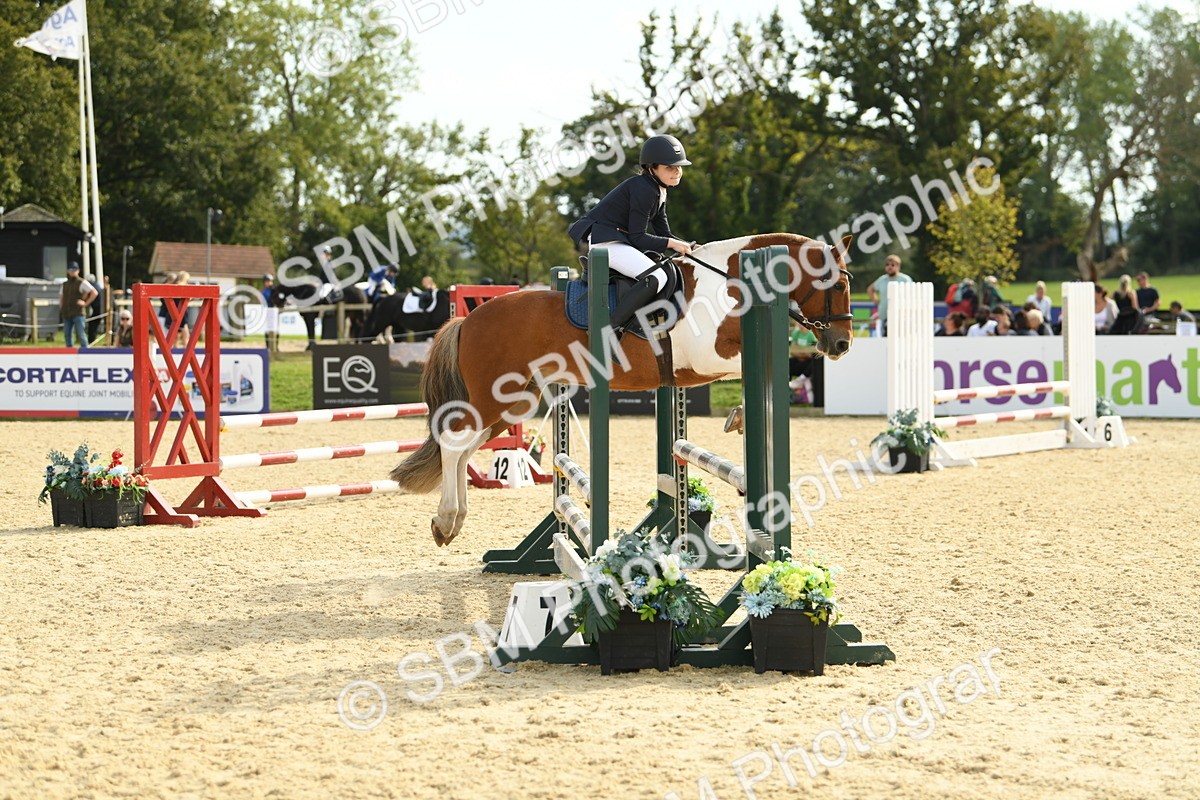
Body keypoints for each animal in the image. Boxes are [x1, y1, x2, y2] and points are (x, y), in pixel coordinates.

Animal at [389, 232, 855, 546]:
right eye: (838, 285)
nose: (841, 345)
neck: (729, 282)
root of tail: (467, 319)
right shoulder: (709, 356)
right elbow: (747, 371)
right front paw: (740, 419)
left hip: (514, 401)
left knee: (465, 446)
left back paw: (452, 520)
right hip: (491, 398)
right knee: (455, 444)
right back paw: (447, 520)